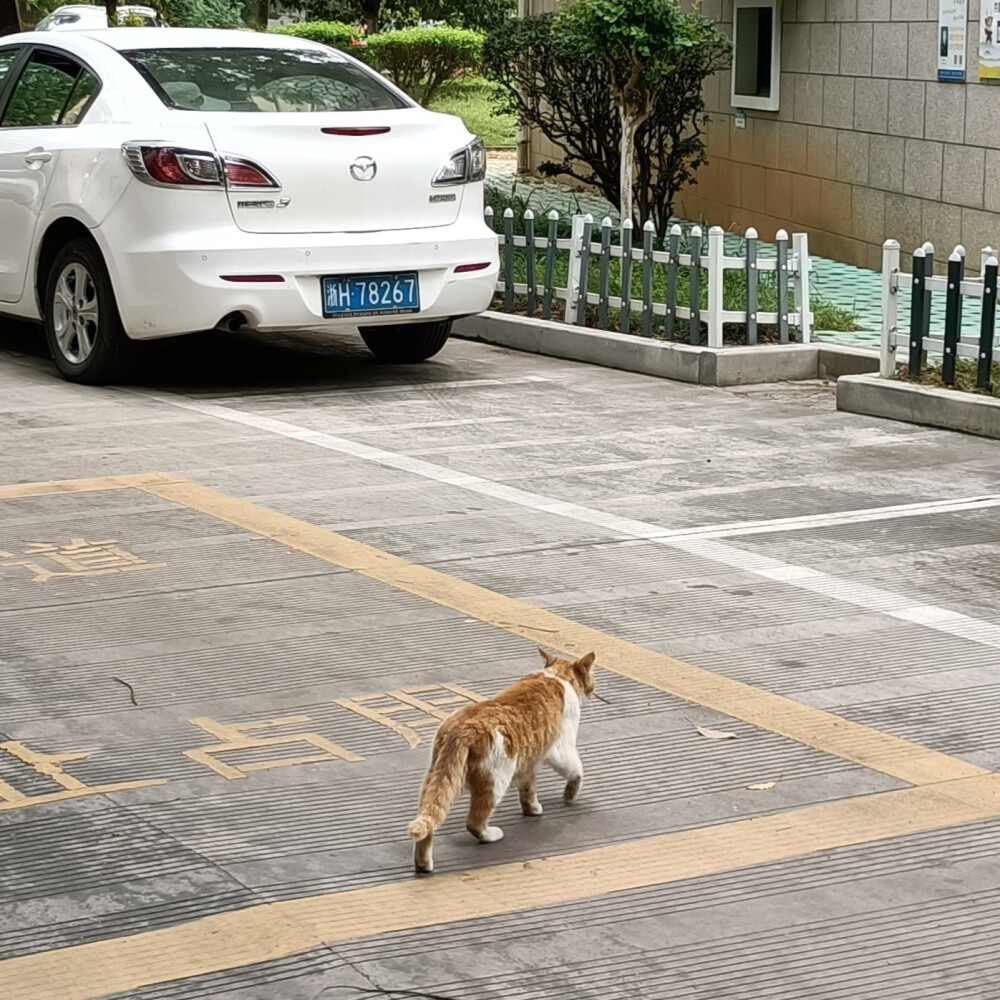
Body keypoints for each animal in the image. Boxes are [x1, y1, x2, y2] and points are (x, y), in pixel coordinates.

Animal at [410, 652, 596, 872]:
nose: (592, 688)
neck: (556, 675)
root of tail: (464, 728)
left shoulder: (528, 762)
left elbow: (528, 789)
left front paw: (532, 809)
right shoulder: (561, 749)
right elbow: (577, 770)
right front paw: (570, 793)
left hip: (434, 779)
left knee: (429, 820)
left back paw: (423, 864)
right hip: (496, 780)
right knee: (474, 821)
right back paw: (491, 835)